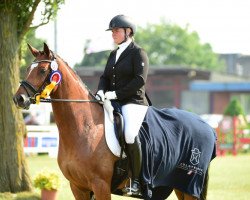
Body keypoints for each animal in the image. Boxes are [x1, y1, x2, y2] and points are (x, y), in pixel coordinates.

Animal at [13, 43, 215, 199]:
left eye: (42, 70)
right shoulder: (78, 187)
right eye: (27, 69)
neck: (84, 128)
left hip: (189, 186)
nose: (19, 99)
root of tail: (208, 127)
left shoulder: (100, 185)